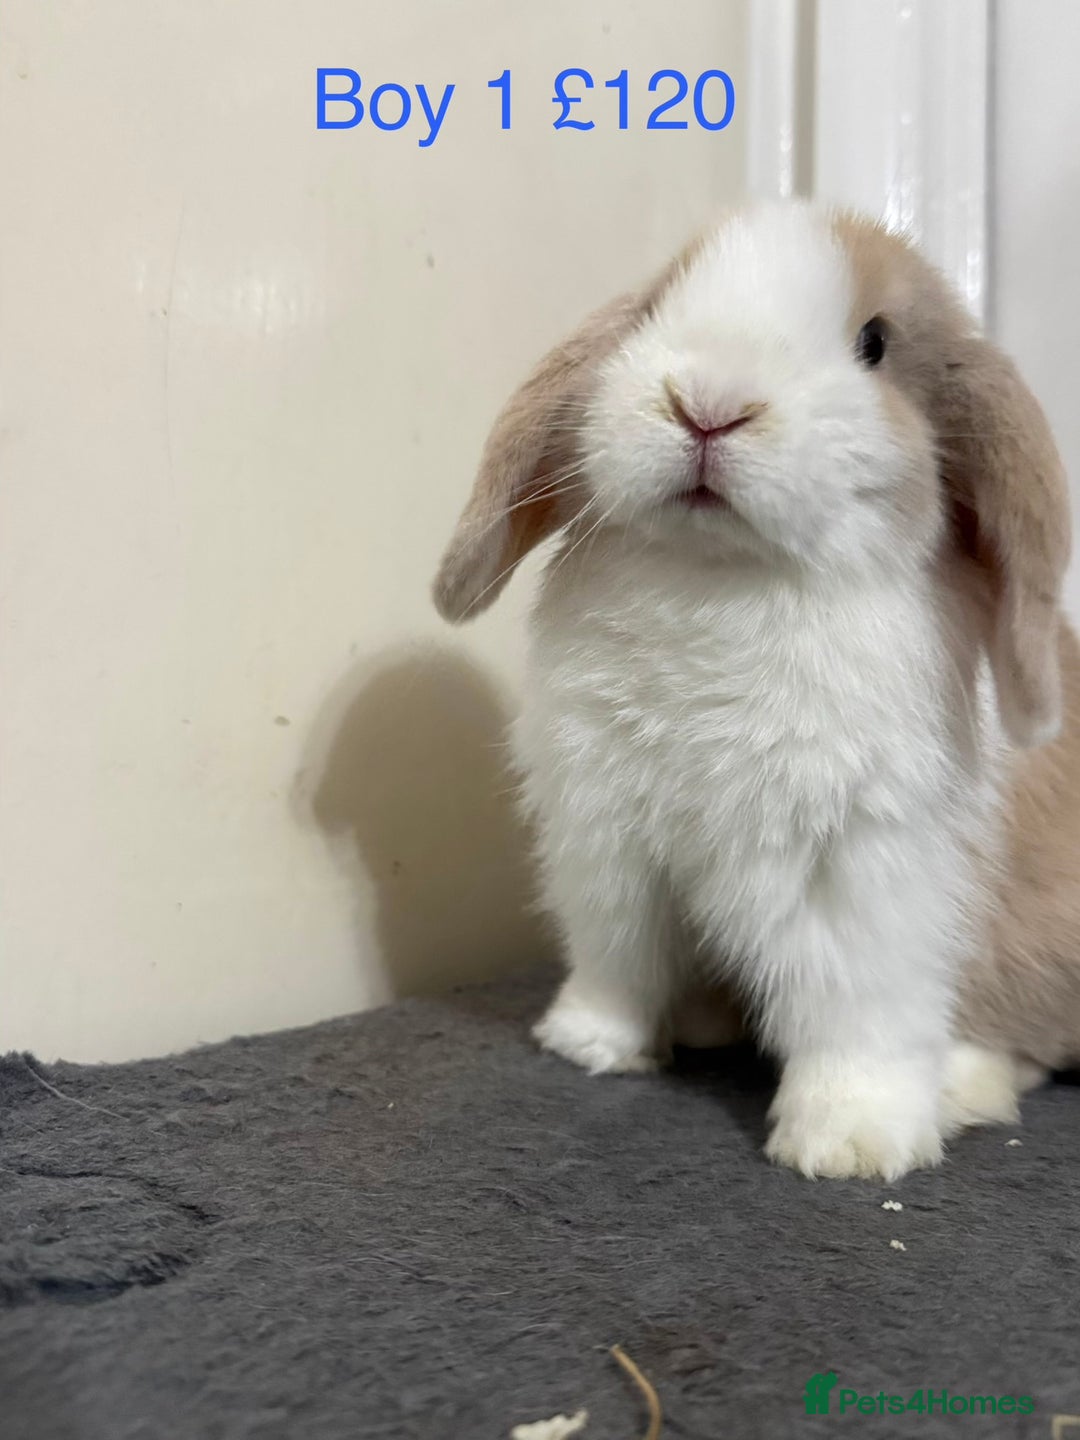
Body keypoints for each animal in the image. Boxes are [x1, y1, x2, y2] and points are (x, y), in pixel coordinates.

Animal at [432, 202, 1080, 1180]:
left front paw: (851, 1146)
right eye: (655, 307)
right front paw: (588, 1043)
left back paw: (964, 1089)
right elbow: (619, 961)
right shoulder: (609, 851)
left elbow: (859, 1016)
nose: (707, 406)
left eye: (875, 343)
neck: (721, 579)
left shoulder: (864, 873)